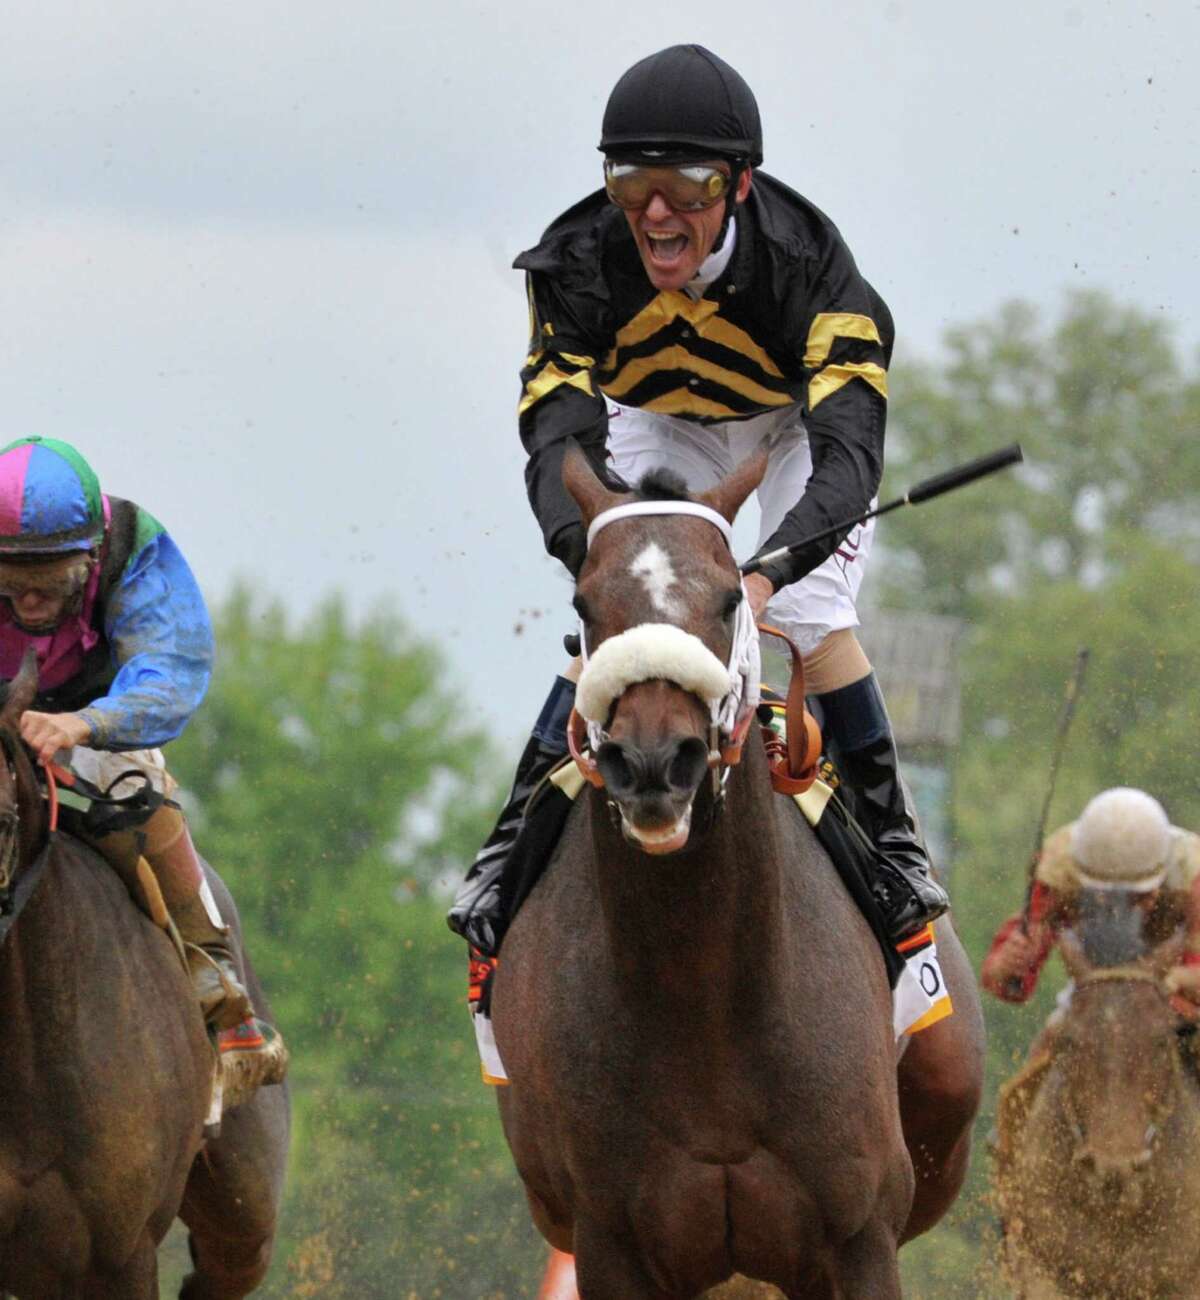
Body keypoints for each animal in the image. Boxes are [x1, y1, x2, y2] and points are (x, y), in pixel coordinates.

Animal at [491, 449, 982, 1300]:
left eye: (727, 599)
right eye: (585, 605)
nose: (655, 762)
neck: (704, 993)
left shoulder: (859, 1236)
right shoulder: (609, 1242)